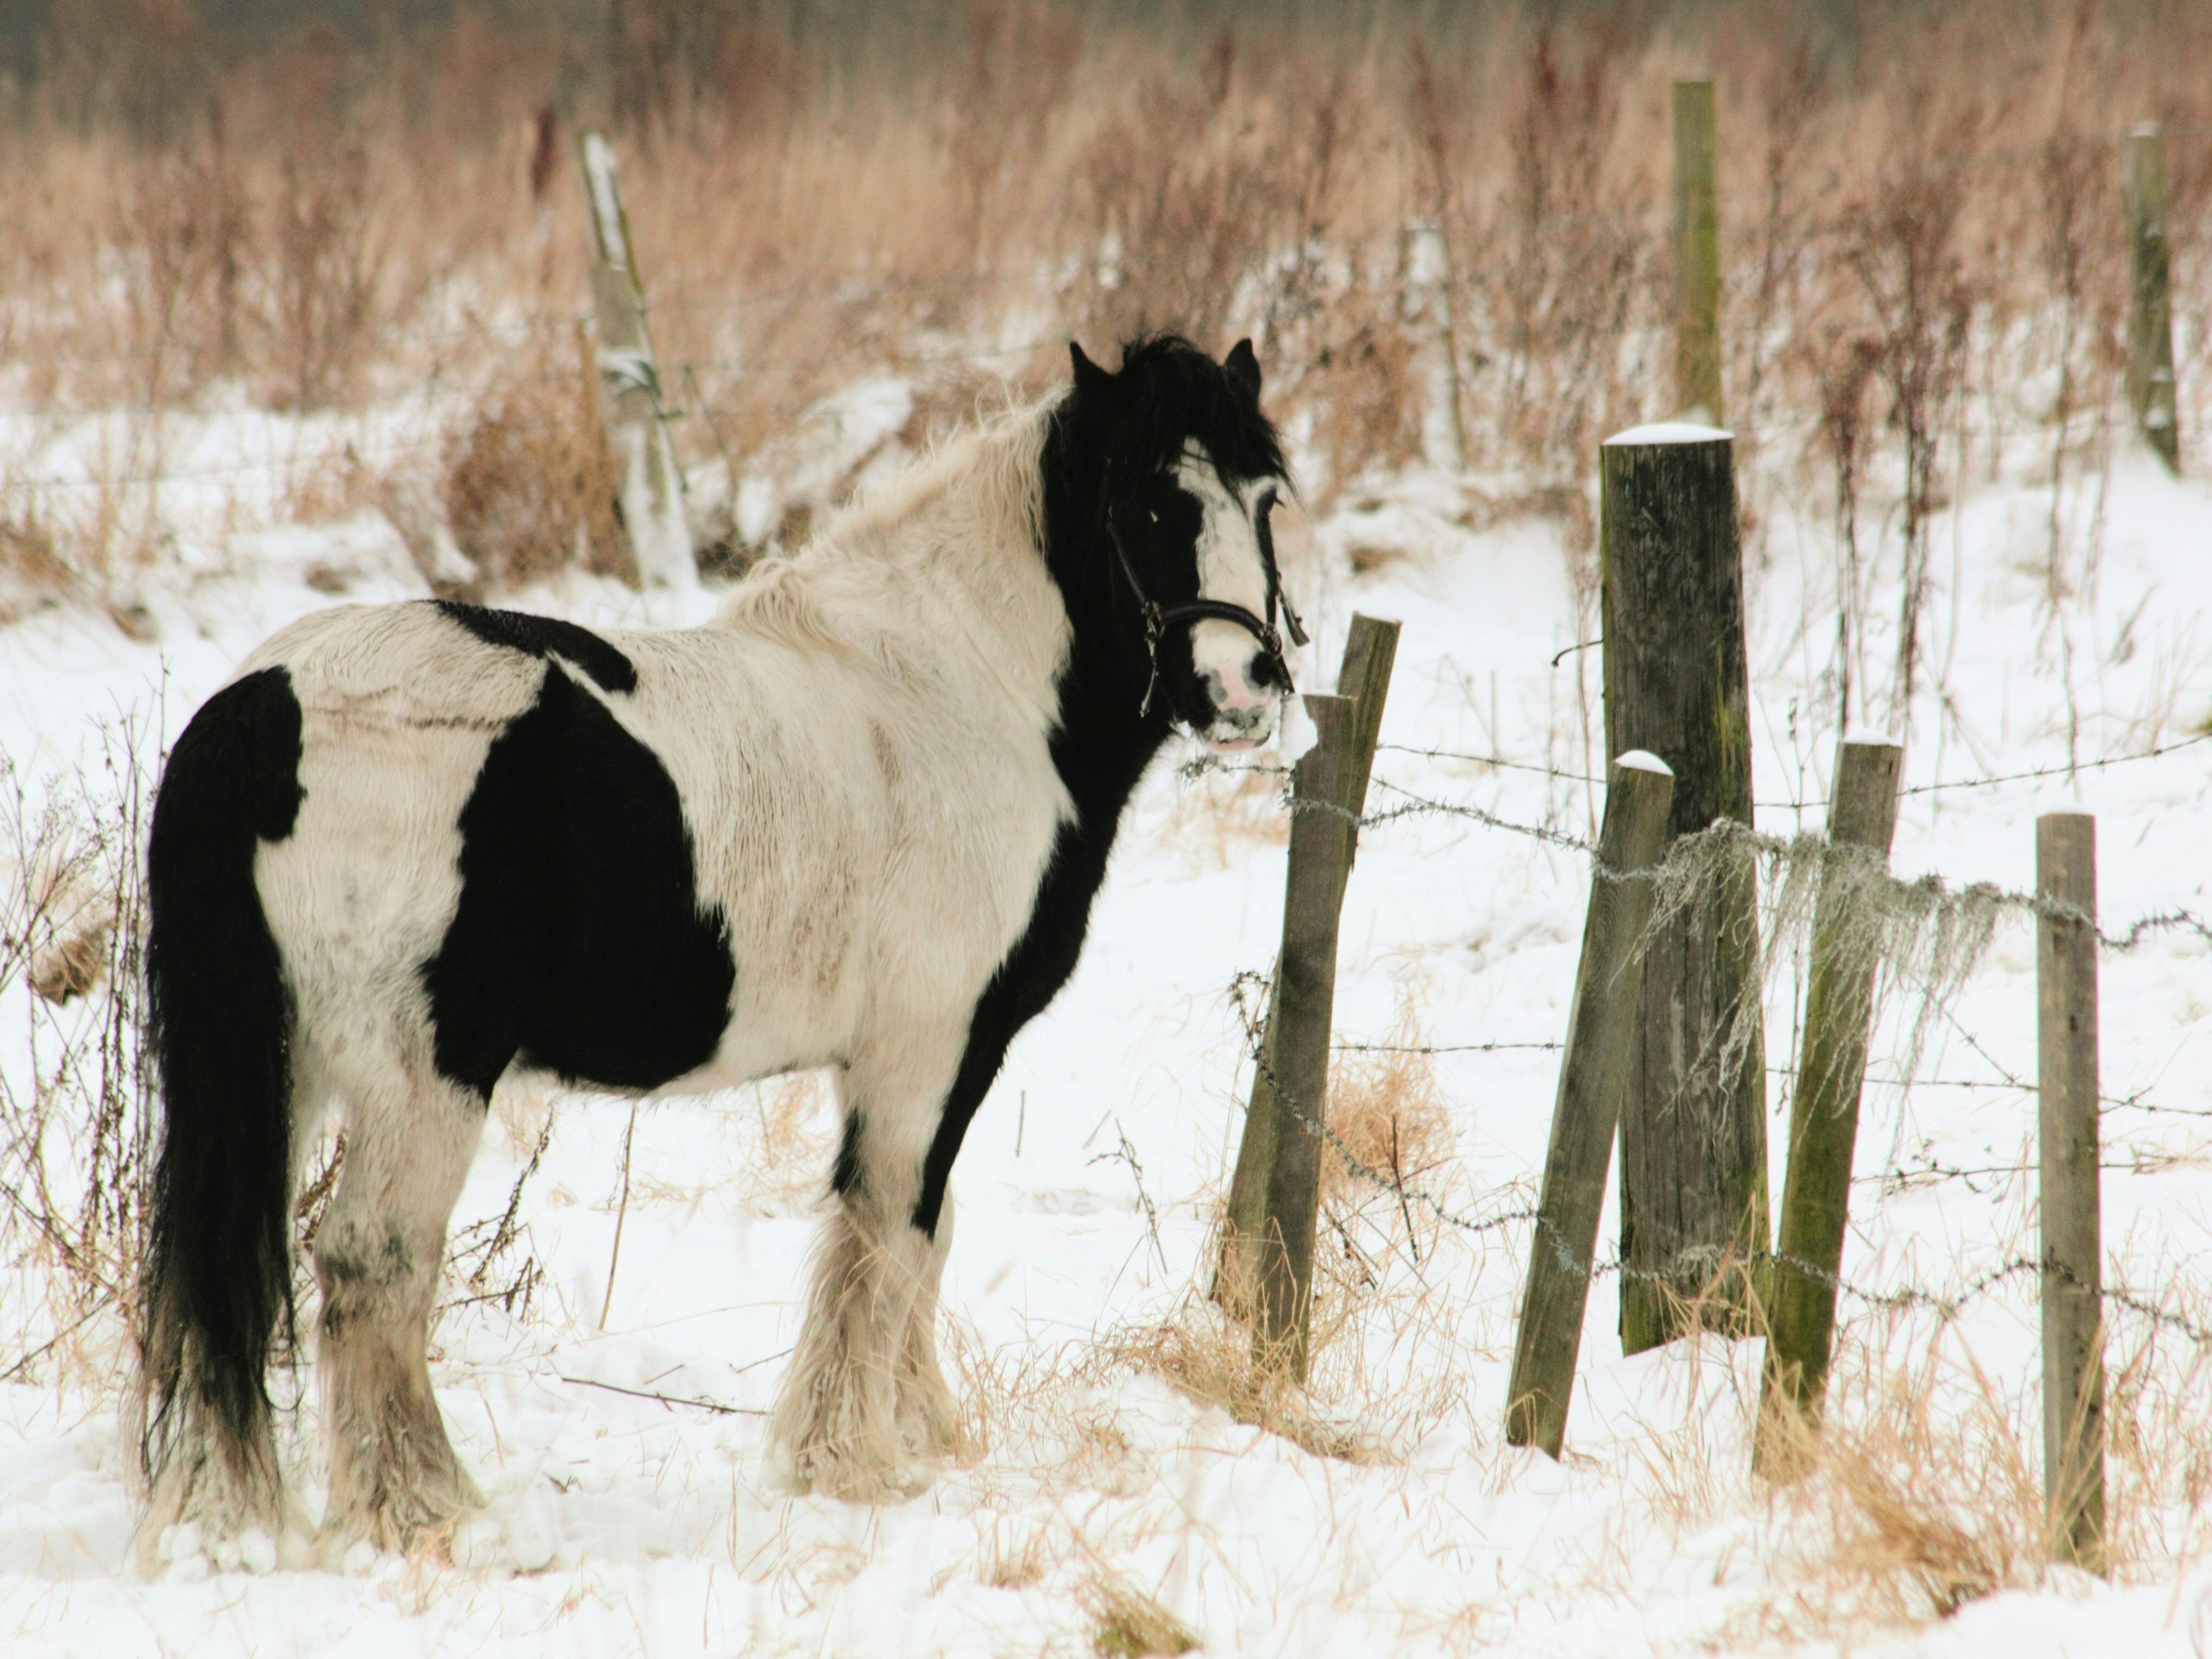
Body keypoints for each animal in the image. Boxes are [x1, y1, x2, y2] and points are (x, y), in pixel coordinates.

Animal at [133, 333, 1304, 1563]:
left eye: (1265, 498)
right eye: (1152, 504)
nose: (1247, 689)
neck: (957, 695)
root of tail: (262, 709)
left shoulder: (910, 1060)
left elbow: (924, 1236)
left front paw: (917, 1431)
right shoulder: (928, 1052)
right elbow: (890, 1237)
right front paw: (858, 1460)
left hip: (289, 1065)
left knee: (230, 1262)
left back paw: (232, 1505)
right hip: (421, 1078)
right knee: (372, 1261)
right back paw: (425, 1507)